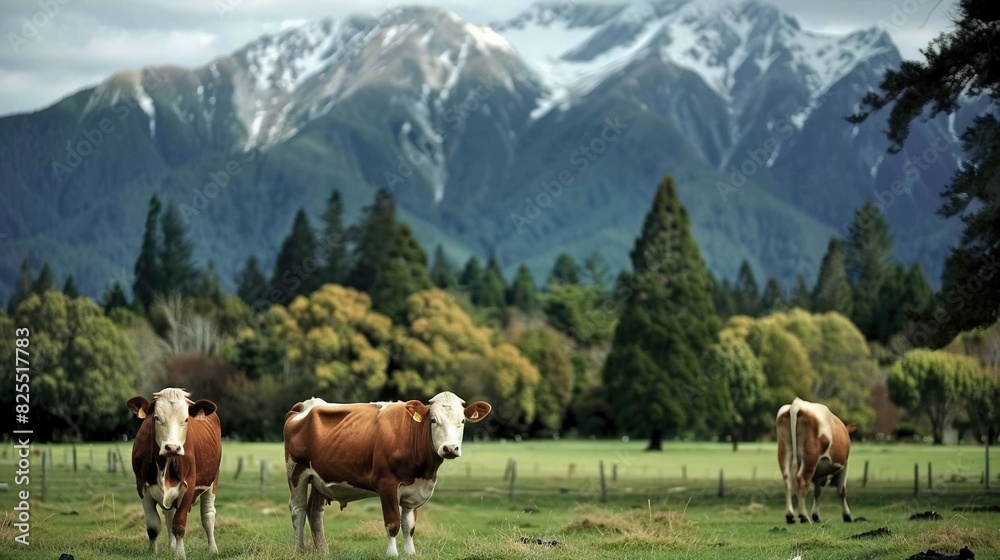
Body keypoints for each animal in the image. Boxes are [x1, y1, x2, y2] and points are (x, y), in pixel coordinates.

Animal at [127, 388, 223, 556]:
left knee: (208, 515)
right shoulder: (142, 487)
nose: (172, 447)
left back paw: (213, 549)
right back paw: (172, 547)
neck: (164, 465)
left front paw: (180, 554)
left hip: (213, 481)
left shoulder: (188, 487)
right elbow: (153, 526)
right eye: (156, 417)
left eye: (186, 419)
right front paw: (152, 552)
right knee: (169, 515)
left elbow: (179, 525)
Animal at [284, 390, 490, 556]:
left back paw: (323, 551)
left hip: (318, 478)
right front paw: (392, 553)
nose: (450, 448)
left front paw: (411, 553)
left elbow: (409, 525)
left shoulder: (414, 489)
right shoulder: (387, 484)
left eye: (462, 421)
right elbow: (393, 523)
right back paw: (298, 550)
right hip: (296, 472)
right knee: (298, 509)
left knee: (315, 512)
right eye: (433, 420)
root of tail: (306, 404)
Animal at [776, 396, 856, 524]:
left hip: (784, 450)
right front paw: (847, 515)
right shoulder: (844, 465)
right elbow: (841, 491)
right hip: (810, 459)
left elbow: (817, 492)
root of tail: (797, 404)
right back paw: (804, 516)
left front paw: (816, 515)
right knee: (802, 480)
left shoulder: (819, 475)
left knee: (787, 480)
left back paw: (790, 516)